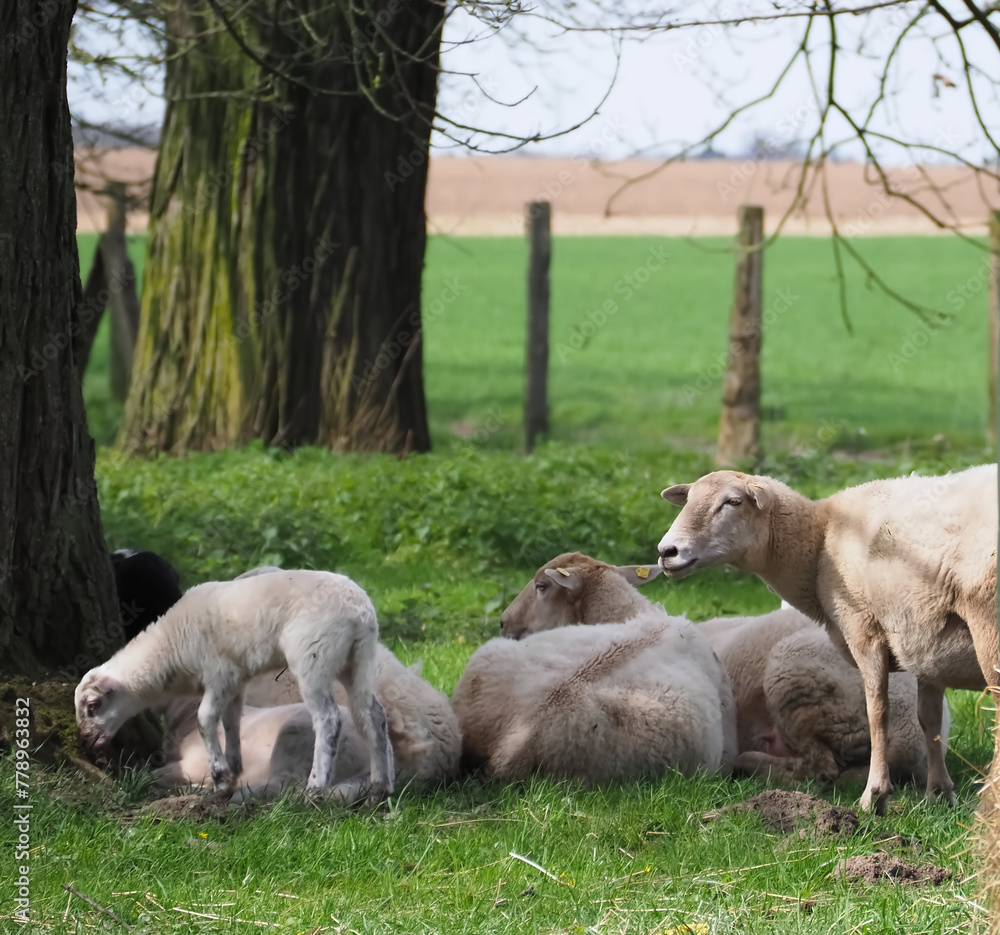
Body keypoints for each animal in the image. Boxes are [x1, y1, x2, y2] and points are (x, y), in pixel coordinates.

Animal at [75, 569, 394, 804]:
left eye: (94, 705)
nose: (85, 742)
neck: (169, 649)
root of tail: (360, 612)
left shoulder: (220, 674)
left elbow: (205, 719)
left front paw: (219, 778)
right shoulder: (236, 680)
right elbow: (231, 722)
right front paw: (232, 771)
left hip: (313, 658)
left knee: (327, 719)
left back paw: (314, 789)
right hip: (358, 660)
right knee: (373, 715)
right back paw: (381, 788)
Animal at [501, 552, 939, 788]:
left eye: (541, 586)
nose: (503, 623)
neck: (627, 613)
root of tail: (914, 736)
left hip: (796, 678)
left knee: (820, 769)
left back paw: (753, 764)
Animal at [657, 465, 998, 813]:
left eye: (733, 502)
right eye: (688, 499)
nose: (667, 552)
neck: (818, 544)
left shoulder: (863, 629)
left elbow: (878, 713)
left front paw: (874, 795)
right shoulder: (923, 645)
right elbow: (929, 721)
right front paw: (938, 795)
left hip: (988, 625)